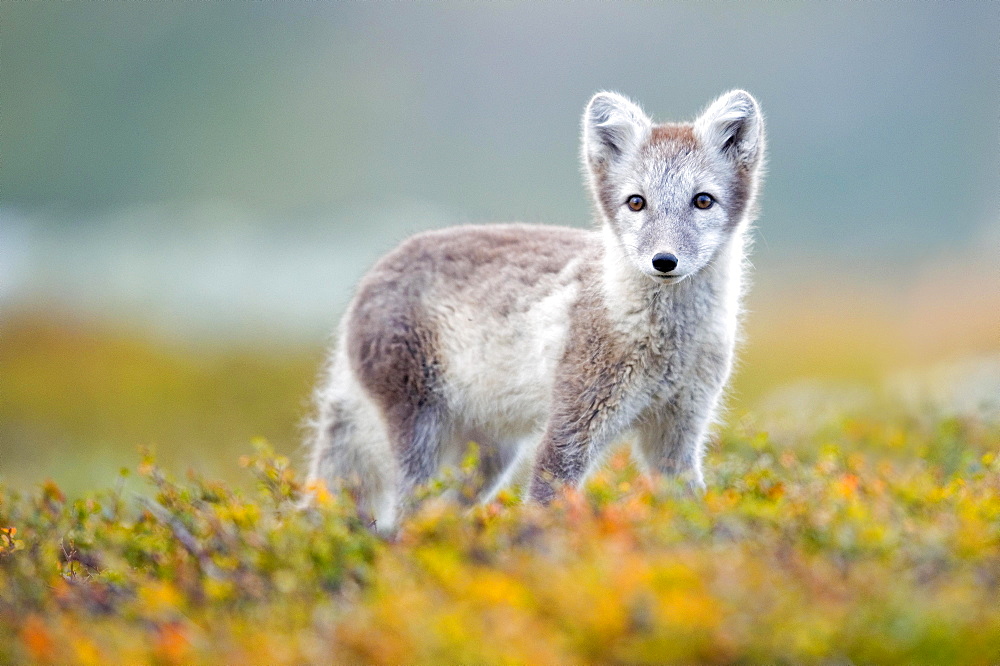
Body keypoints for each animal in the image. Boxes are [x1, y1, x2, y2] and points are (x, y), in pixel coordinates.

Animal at [304, 91, 764, 532]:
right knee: (405, 512)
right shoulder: (571, 425)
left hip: (489, 455)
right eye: (637, 203)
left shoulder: (679, 431)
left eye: (702, 201)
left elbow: (690, 502)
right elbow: (546, 507)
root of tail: (371, 276)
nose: (664, 261)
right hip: (420, 428)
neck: (667, 343)